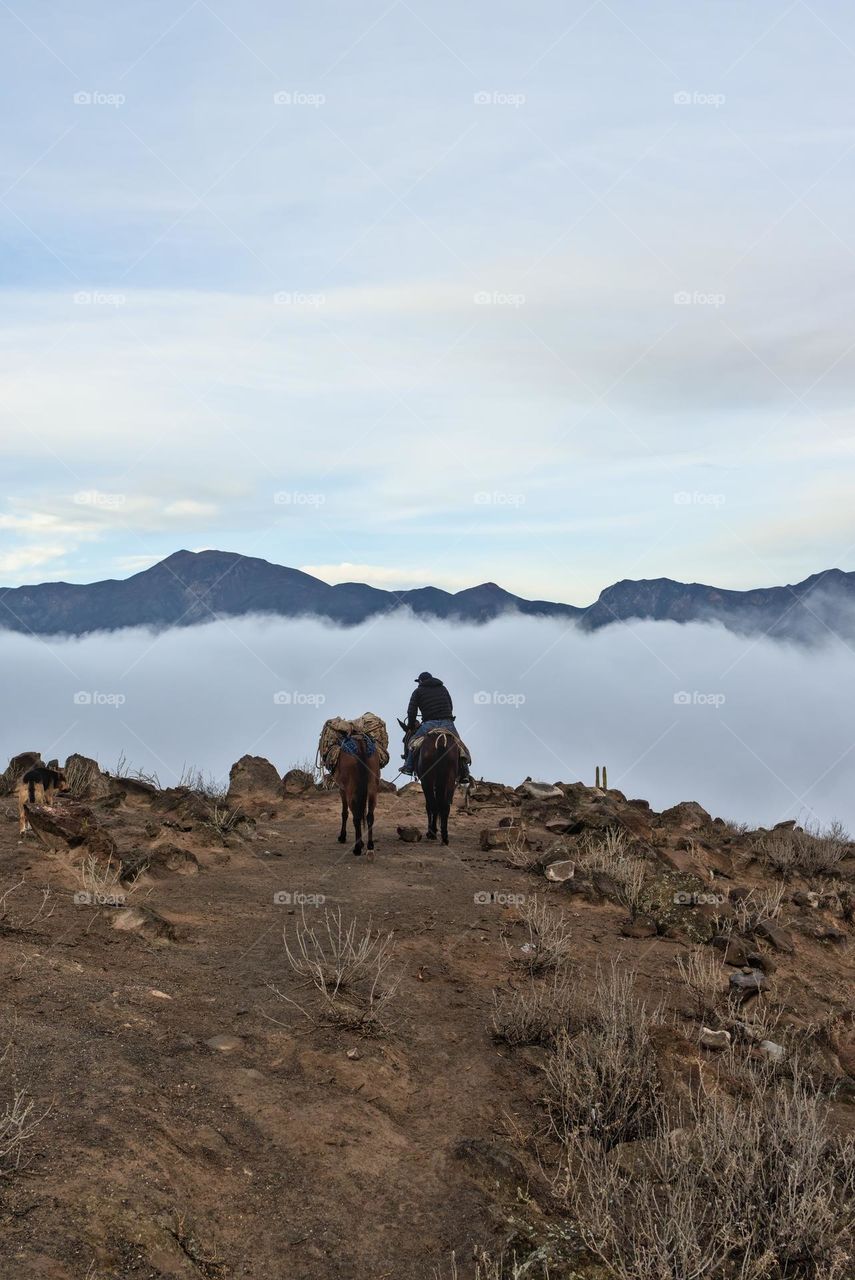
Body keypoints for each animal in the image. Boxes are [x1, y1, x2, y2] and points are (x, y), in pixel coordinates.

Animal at [396, 721, 458, 849]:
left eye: (404, 739)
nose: (403, 755)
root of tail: (441, 740)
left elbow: (429, 805)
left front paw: (432, 831)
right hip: (450, 778)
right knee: (445, 805)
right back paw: (445, 837)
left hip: (428, 779)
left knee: (432, 804)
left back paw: (432, 833)